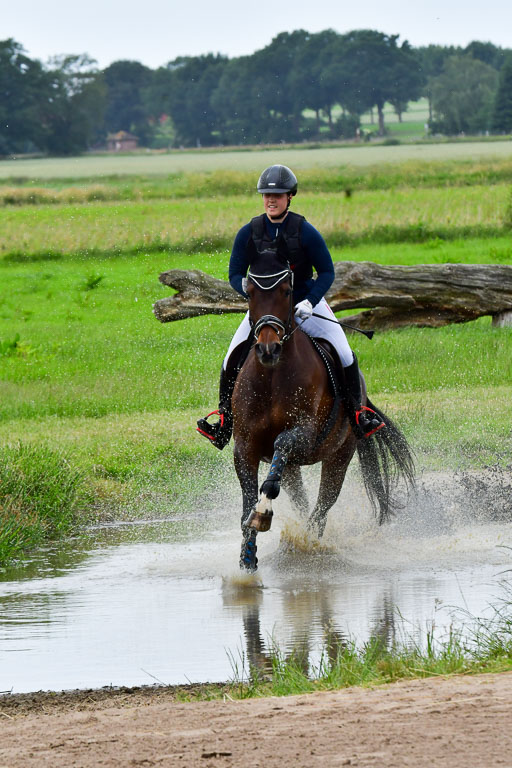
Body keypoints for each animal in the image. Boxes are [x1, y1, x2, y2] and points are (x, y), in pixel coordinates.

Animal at [231, 259, 415, 572]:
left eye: (287, 291)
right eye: (250, 292)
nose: (268, 349)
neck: (272, 376)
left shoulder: (305, 435)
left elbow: (283, 443)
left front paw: (263, 512)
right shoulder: (246, 447)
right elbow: (247, 501)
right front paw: (247, 557)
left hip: (340, 455)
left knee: (322, 507)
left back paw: (309, 545)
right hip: (292, 469)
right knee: (301, 500)